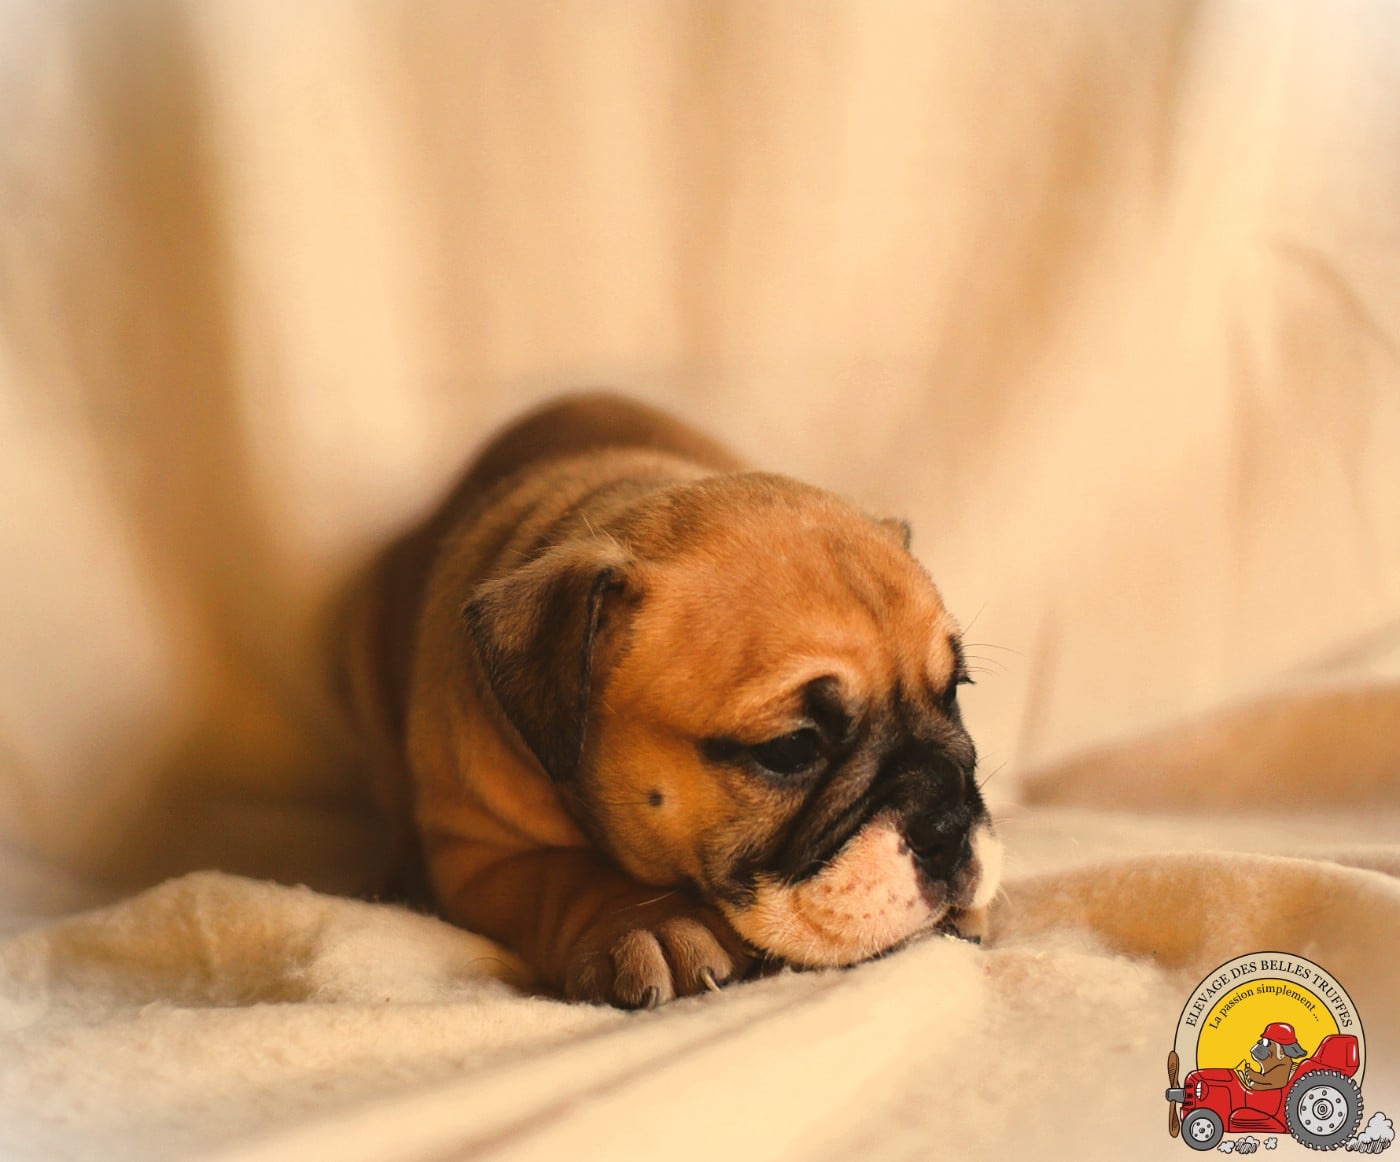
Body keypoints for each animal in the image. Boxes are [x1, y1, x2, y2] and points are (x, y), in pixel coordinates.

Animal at [338, 392, 1001, 1007]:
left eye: (951, 694)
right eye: (791, 747)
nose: (949, 827)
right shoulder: (480, 852)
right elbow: (563, 875)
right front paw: (649, 925)